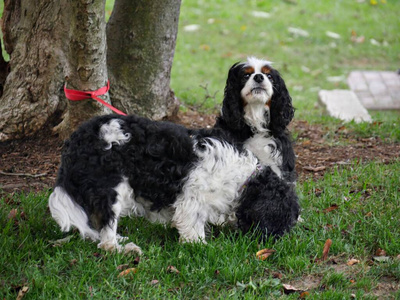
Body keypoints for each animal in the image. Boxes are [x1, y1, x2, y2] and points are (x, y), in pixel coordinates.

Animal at [48, 56, 300, 253]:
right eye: (283, 215)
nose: (285, 235)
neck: (245, 175)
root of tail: (79, 136)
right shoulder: (194, 193)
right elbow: (192, 223)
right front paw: (198, 246)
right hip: (111, 186)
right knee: (105, 229)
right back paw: (120, 248)